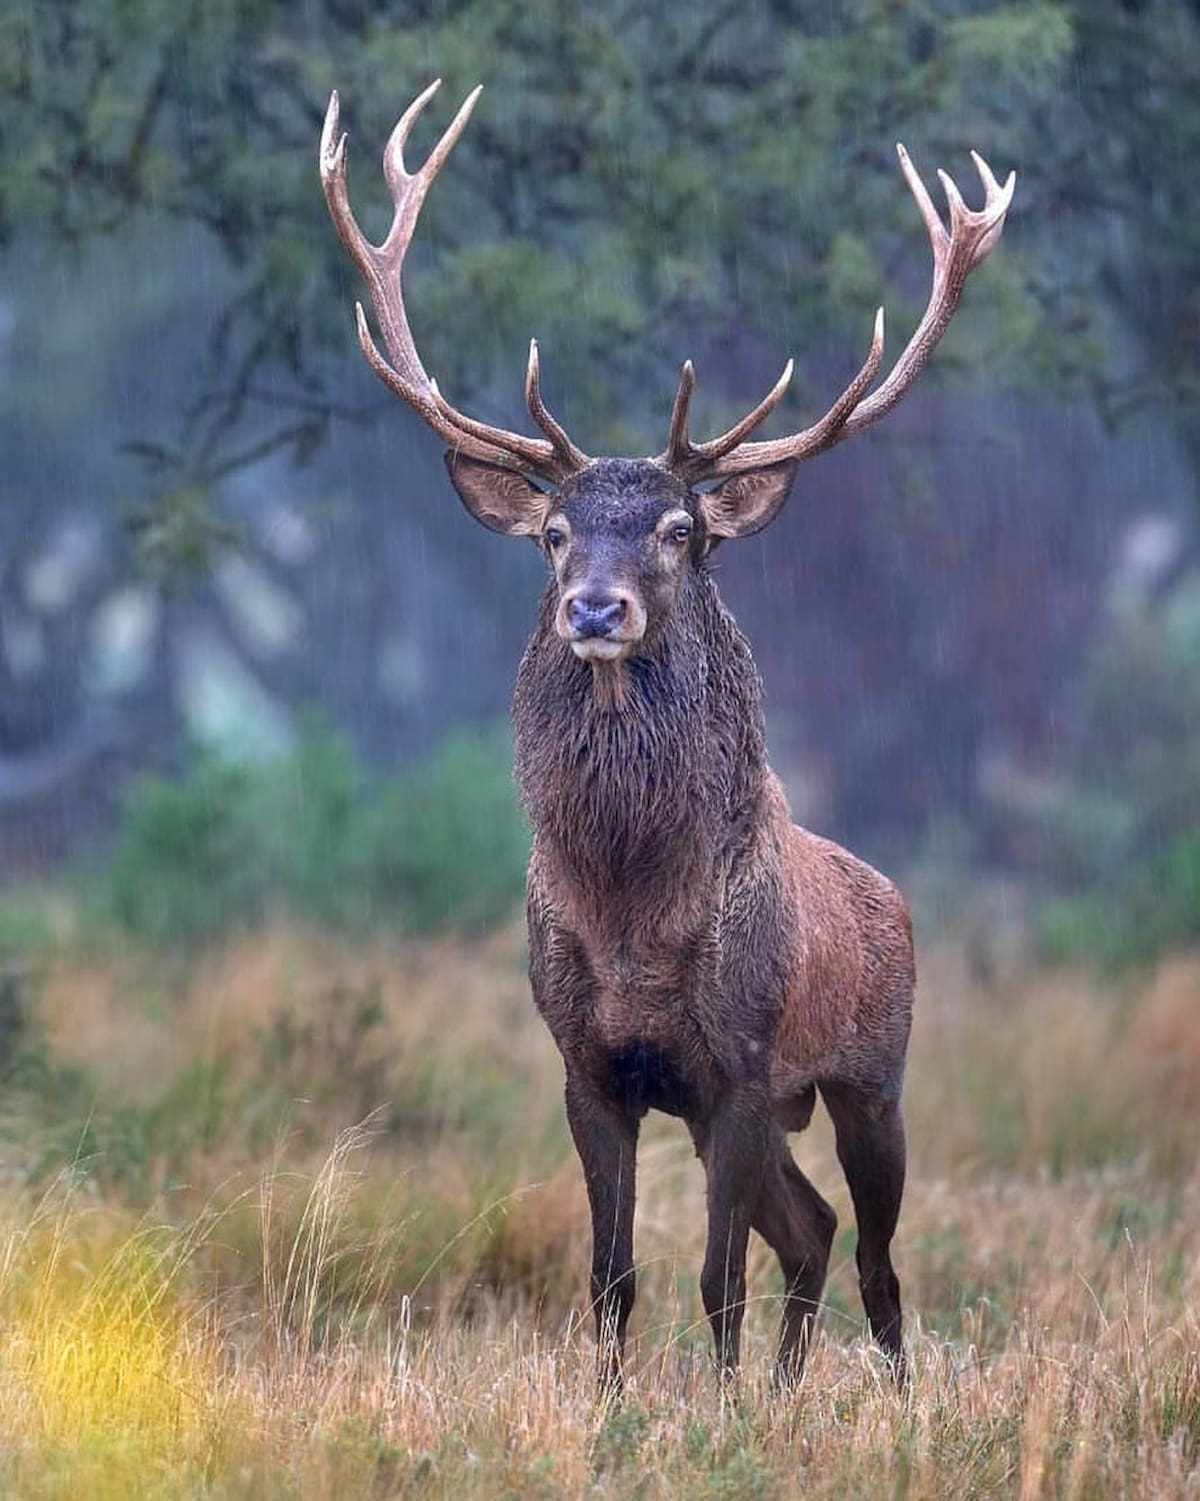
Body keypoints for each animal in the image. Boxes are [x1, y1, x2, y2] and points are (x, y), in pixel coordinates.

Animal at [320, 80, 1013, 1392]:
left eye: (681, 530)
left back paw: (891, 1400)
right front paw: (616, 1410)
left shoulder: (739, 1057)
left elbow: (715, 1277)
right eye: (553, 531)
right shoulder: (596, 1066)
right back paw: (791, 1391)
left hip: (871, 1073)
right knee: (814, 1228)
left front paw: (718, 1412)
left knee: (877, 1256)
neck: (633, 911)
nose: (597, 608)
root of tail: (891, 895)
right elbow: (614, 1277)